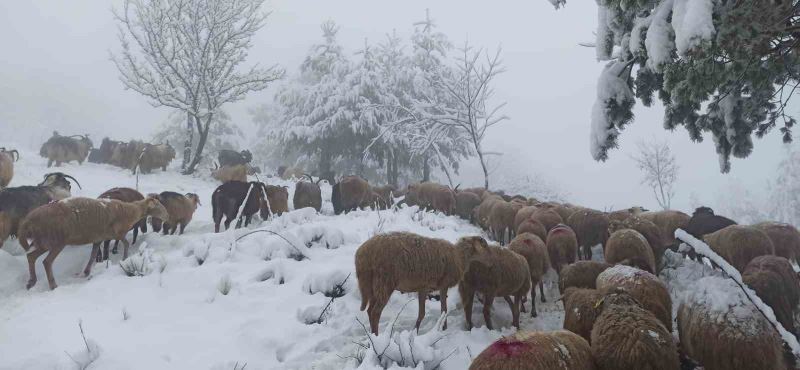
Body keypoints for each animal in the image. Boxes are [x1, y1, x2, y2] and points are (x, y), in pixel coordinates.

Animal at [16, 195, 169, 290]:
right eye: (158, 205)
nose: (167, 217)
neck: (132, 211)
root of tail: (29, 220)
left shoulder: (98, 238)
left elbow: (93, 254)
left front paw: (87, 271)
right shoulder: (117, 233)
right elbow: (125, 243)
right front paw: (125, 259)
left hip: (43, 241)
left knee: (31, 256)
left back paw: (31, 282)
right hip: (56, 241)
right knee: (46, 262)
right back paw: (53, 285)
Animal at [354, 234, 490, 336]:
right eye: (485, 245)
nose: (491, 260)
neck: (459, 258)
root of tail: (362, 255)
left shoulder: (423, 288)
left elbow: (422, 313)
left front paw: (415, 332)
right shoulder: (443, 285)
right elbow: (443, 310)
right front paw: (443, 329)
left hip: (371, 286)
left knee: (370, 310)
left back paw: (372, 335)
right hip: (384, 283)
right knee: (375, 313)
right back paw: (376, 338)